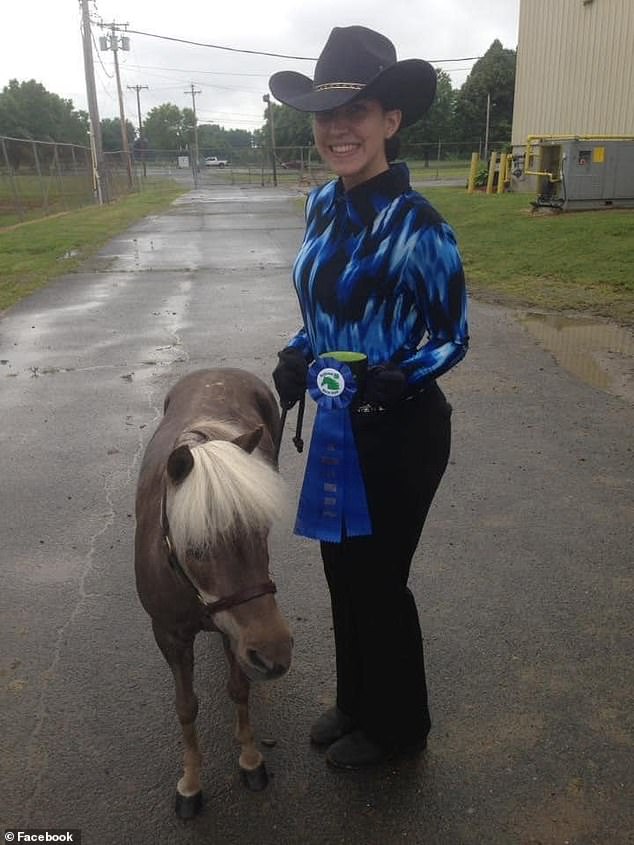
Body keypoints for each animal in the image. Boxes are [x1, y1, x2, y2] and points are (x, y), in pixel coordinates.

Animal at [135, 370, 292, 816]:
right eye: (197, 548)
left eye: (262, 531)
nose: (274, 654)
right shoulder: (169, 635)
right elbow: (186, 707)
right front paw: (190, 783)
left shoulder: (237, 632)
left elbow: (239, 689)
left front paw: (251, 759)